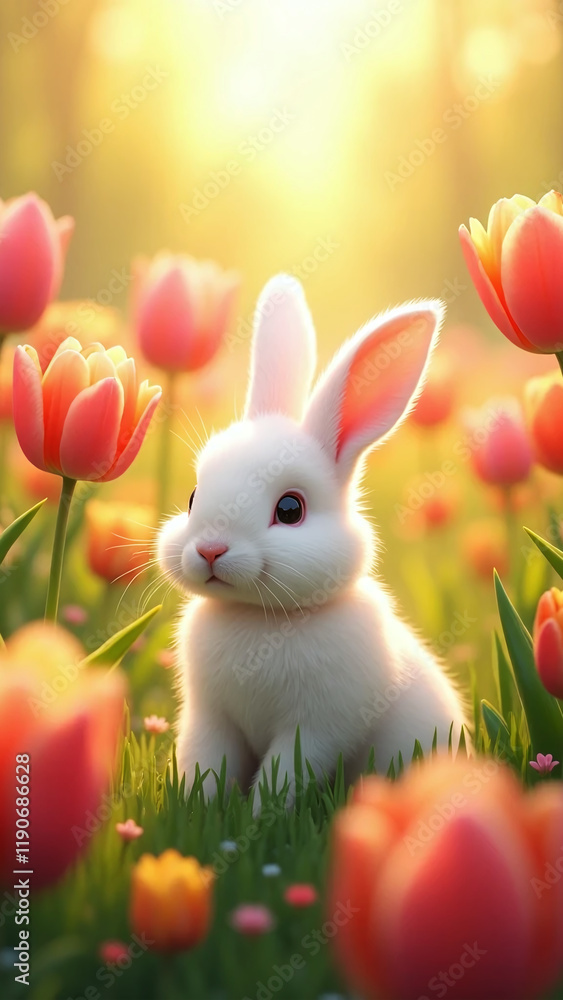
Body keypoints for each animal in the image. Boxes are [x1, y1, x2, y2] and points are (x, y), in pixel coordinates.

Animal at [158, 274, 469, 813]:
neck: (259, 618)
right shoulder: (210, 717)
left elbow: (283, 776)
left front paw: (256, 821)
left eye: (290, 510)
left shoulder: (317, 728)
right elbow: (207, 765)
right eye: (194, 497)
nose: (210, 550)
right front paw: (200, 812)